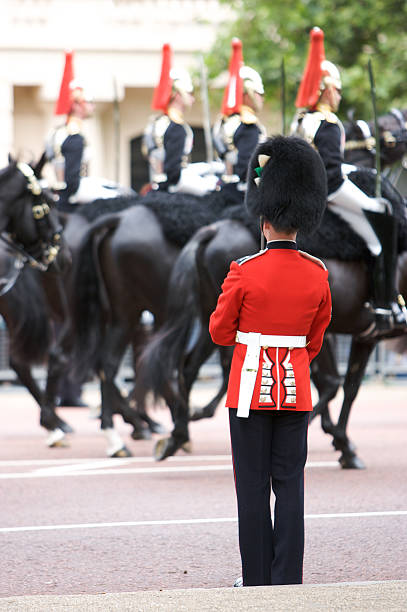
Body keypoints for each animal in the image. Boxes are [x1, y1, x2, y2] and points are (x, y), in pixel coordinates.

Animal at [138, 167, 407, 464]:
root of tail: (213, 230)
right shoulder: (360, 334)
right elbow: (343, 386)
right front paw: (341, 442)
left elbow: (335, 384)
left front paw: (335, 437)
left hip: (212, 314)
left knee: (188, 367)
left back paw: (178, 435)